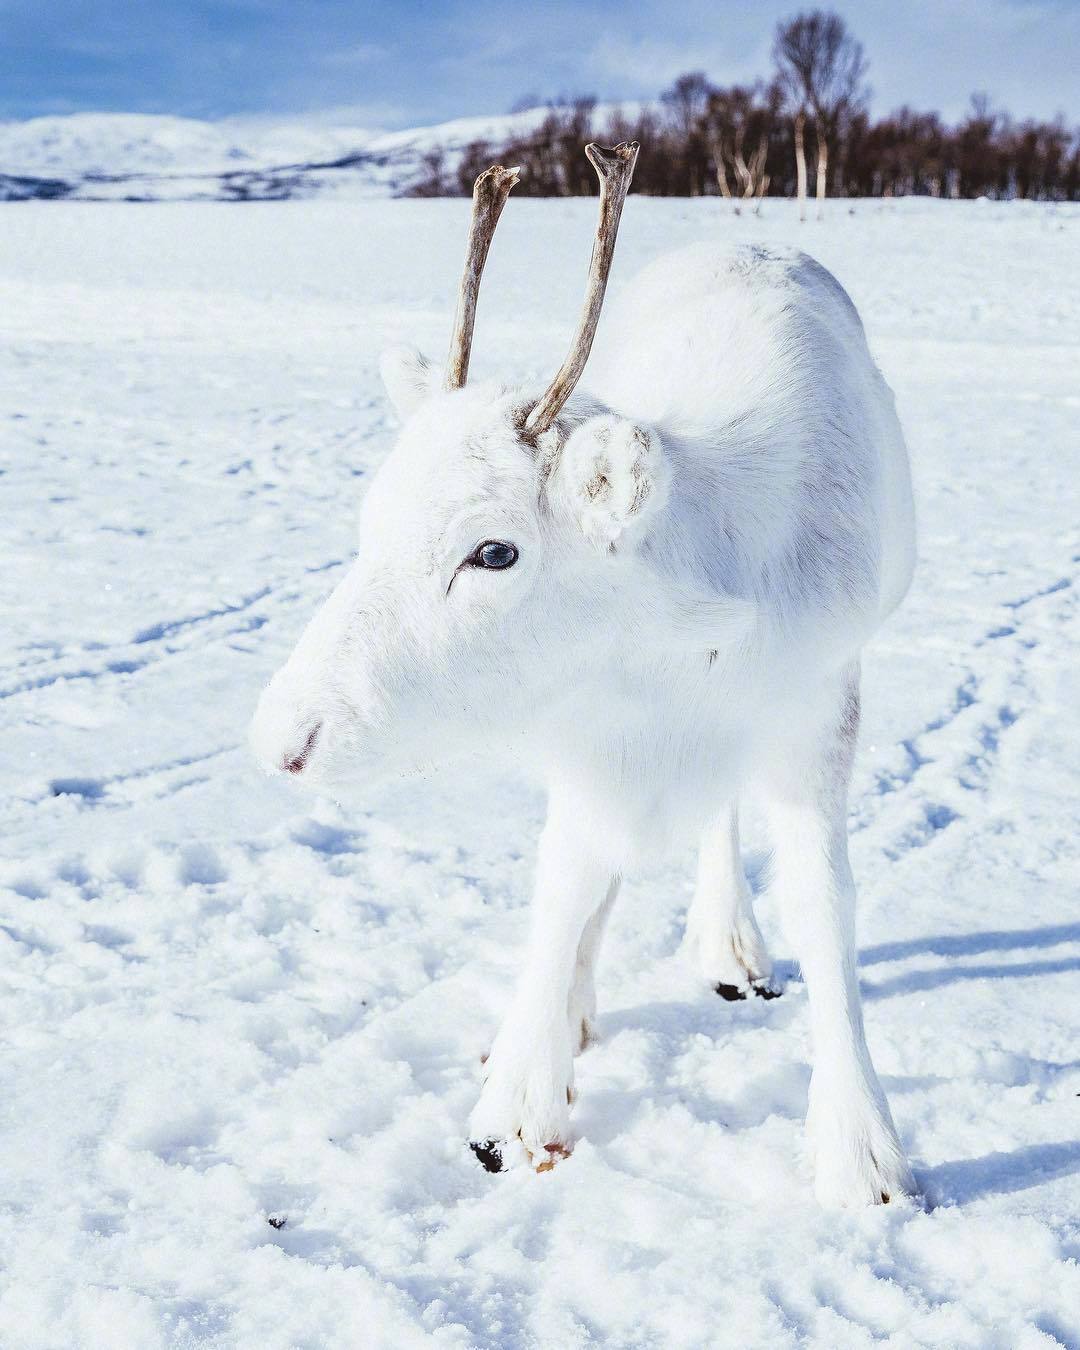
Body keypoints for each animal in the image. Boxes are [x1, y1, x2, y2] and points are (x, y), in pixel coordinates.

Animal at [251, 141, 918, 1207]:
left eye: (494, 552)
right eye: (371, 517)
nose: (285, 741)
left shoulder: (816, 707)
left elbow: (825, 906)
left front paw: (861, 1151)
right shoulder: (584, 730)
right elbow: (566, 885)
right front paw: (520, 1098)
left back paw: (729, 944)